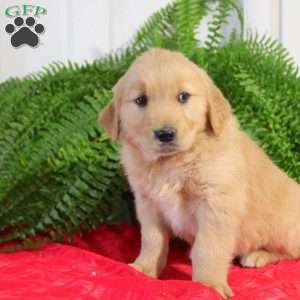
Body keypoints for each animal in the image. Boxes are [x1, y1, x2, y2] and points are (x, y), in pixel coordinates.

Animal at [99, 47, 300, 298]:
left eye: (183, 97)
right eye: (141, 100)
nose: (165, 134)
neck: (173, 161)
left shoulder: (216, 203)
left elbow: (208, 247)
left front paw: (208, 285)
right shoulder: (148, 204)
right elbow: (152, 240)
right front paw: (144, 268)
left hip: (283, 226)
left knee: (292, 251)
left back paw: (258, 255)